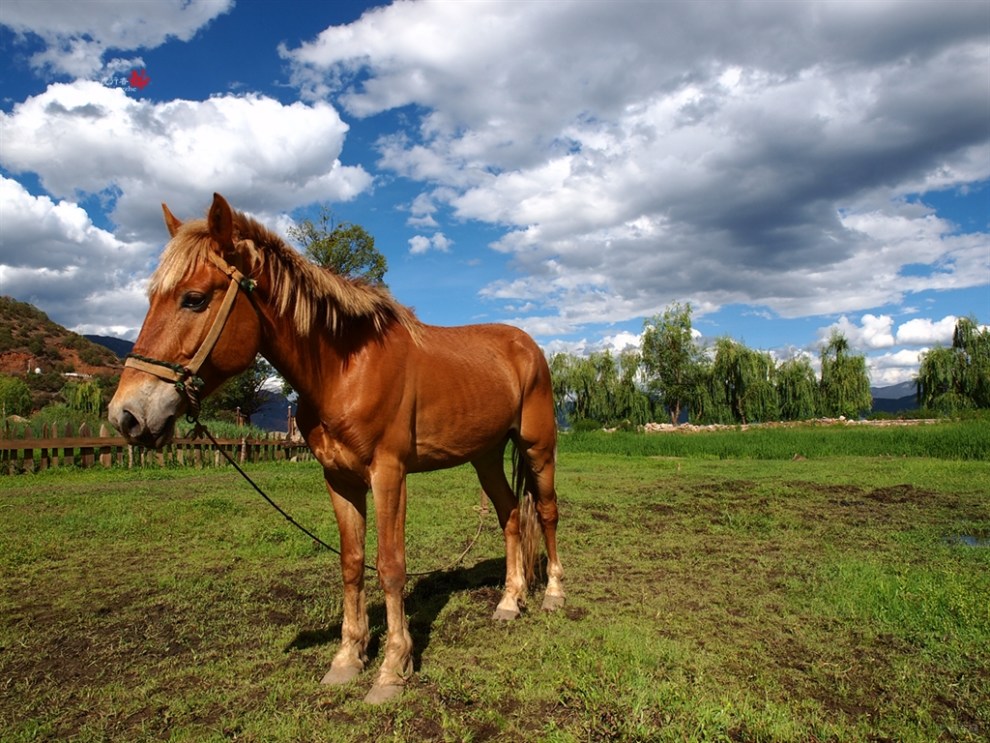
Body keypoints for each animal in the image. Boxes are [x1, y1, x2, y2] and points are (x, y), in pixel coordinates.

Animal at [108, 192, 564, 704]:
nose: (126, 415)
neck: (345, 370)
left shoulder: (389, 475)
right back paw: (509, 601)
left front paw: (393, 669)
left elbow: (390, 566)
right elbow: (351, 564)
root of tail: (527, 346)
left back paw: (553, 594)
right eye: (152, 299)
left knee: (546, 513)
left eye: (194, 299)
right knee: (510, 514)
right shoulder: (340, 479)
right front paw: (348, 658)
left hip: (538, 447)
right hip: (484, 456)